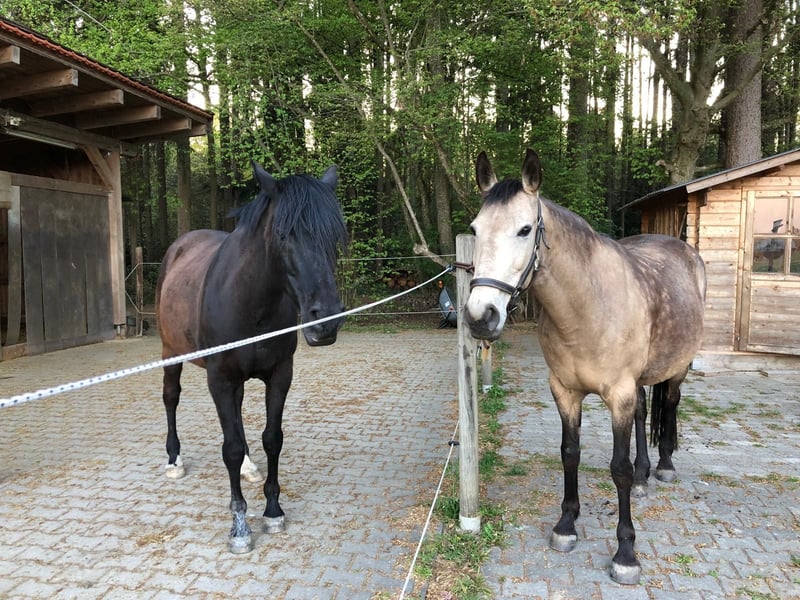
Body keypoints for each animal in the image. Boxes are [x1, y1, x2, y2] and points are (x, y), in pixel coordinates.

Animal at [155, 160, 348, 554]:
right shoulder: (220, 379)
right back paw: (174, 459)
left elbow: (272, 438)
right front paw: (240, 525)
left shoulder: (280, 374)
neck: (250, 300)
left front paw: (273, 510)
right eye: (285, 235)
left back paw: (247, 465)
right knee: (171, 398)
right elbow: (228, 447)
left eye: (336, 236)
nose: (326, 323)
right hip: (170, 353)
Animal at [464, 149, 706, 584]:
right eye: (475, 229)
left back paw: (663, 466)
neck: (587, 308)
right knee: (645, 410)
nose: (480, 316)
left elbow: (618, 468)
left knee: (670, 405)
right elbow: (569, 454)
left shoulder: (618, 394)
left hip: (676, 370)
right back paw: (645, 476)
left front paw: (626, 553)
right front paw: (566, 526)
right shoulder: (565, 391)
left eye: (525, 229)